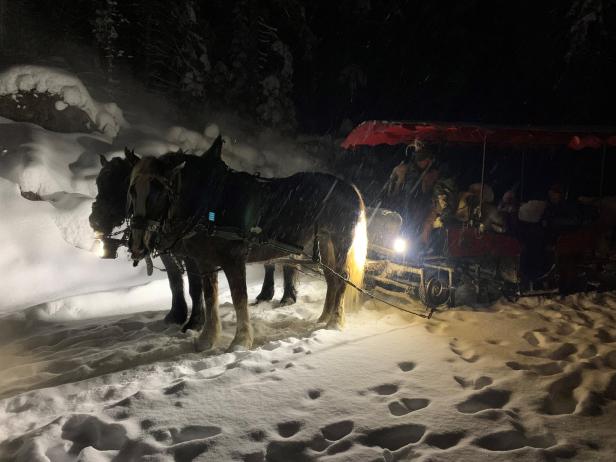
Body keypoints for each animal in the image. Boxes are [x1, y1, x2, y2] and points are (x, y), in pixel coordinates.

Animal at [127, 136, 364, 350]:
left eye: (159, 191)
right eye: (132, 191)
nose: (137, 245)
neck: (211, 202)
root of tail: (351, 188)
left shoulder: (234, 259)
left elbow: (239, 297)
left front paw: (240, 342)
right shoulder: (205, 261)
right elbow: (210, 296)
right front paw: (207, 339)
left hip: (340, 241)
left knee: (342, 278)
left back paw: (335, 322)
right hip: (325, 242)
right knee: (332, 279)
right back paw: (324, 317)